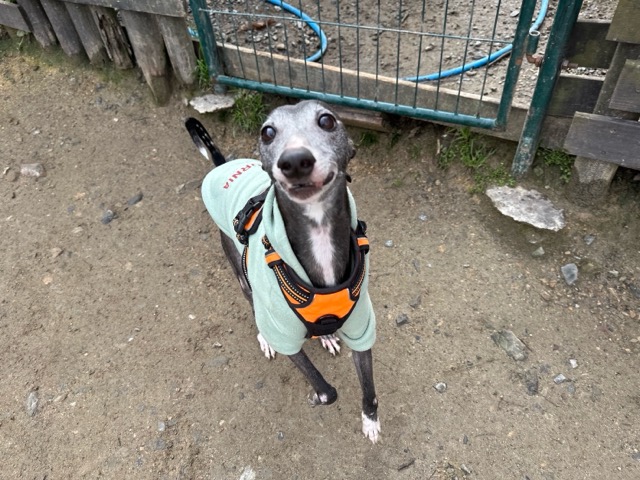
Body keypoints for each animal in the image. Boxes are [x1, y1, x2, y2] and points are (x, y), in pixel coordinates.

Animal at [186, 100, 380, 442]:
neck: (319, 235)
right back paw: (264, 337)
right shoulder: (285, 336)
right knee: (252, 303)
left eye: (327, 120)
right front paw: (316, 396)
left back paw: (326, 335)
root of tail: (223, 167)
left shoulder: (361, 326)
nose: (294, 160)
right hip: (243, 276)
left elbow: (368, 385)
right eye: (267, 132)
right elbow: (326, 390)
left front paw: (370, 420)